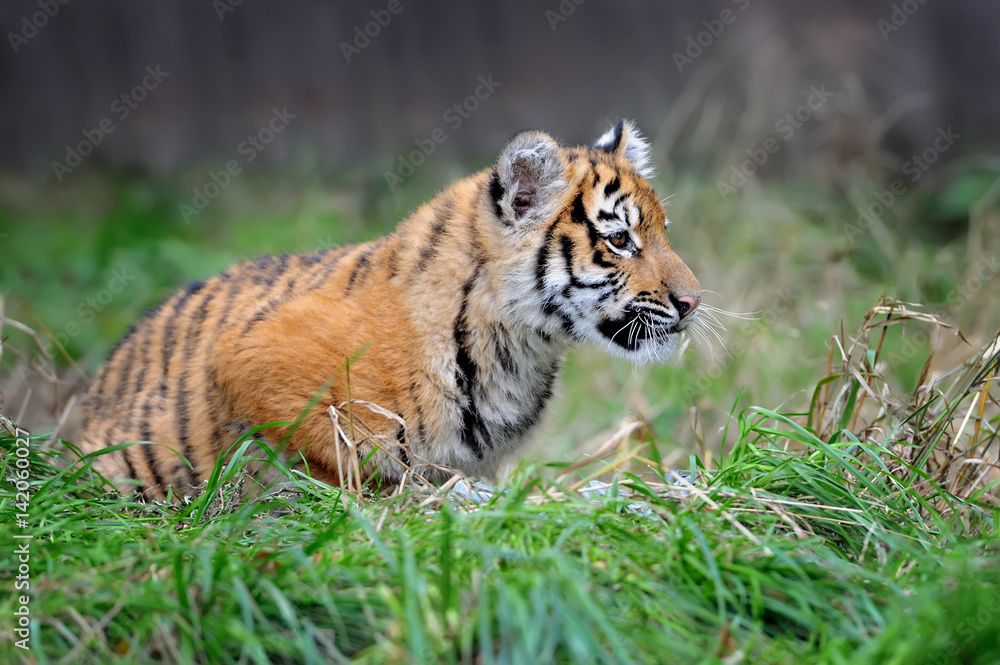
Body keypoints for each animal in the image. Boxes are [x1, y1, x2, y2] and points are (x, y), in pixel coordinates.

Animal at [78, 119, 702, 500]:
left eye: (665, 231)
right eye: (620, 240)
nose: (693, 302)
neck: (519, 346)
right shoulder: (251, 357)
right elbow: (331, 453)